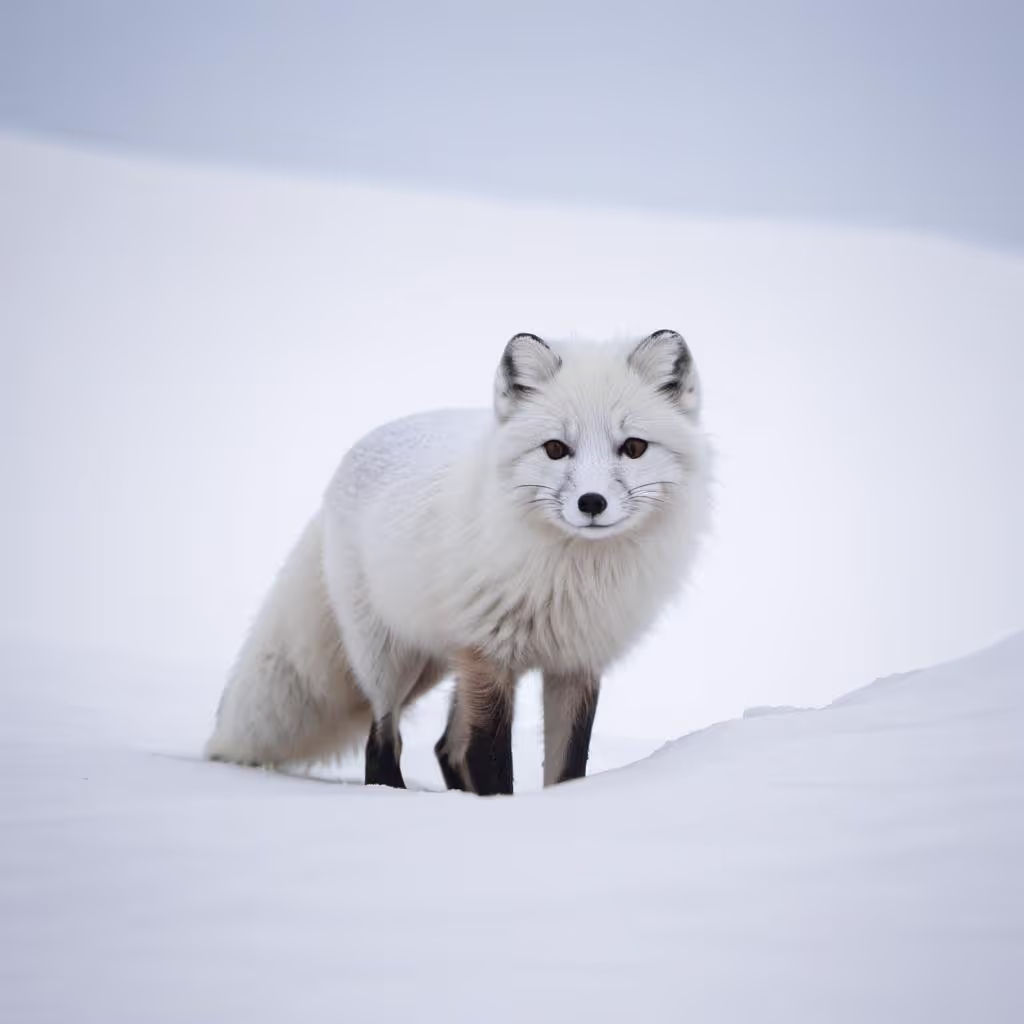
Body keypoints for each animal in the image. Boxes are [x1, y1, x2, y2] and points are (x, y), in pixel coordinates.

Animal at [206, 330, 711, 793]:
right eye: (555, 449)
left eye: (634, 447)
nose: (592, 502)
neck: (571, 578)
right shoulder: (489, 655)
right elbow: (490, 759)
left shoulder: (574, 664)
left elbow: (566, 768)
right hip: (391, 659)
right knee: (384, 742)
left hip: (442, 663)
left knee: (444, 747)